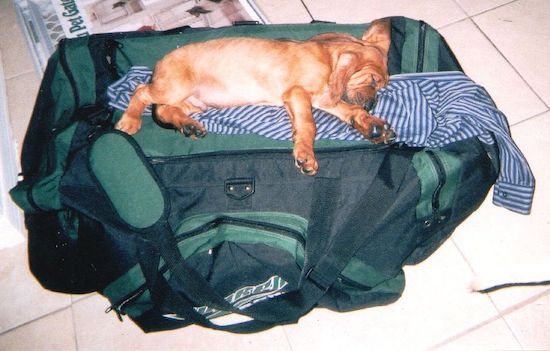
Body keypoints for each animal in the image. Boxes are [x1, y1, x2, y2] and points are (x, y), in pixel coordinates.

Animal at [116, 18, 396, 175]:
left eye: (381, 85)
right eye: (373, 80)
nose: (372, 105)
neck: (328, 60)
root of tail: (157, 66)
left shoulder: (323, 98)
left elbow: (349, 110)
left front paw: (371, 125)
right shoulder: (298, 93)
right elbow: (309, 124)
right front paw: (305, 154)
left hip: (192, 101)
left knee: (164, 109)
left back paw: (188, 125)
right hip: (176, 85)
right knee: (141, 92)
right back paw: (129, 121)